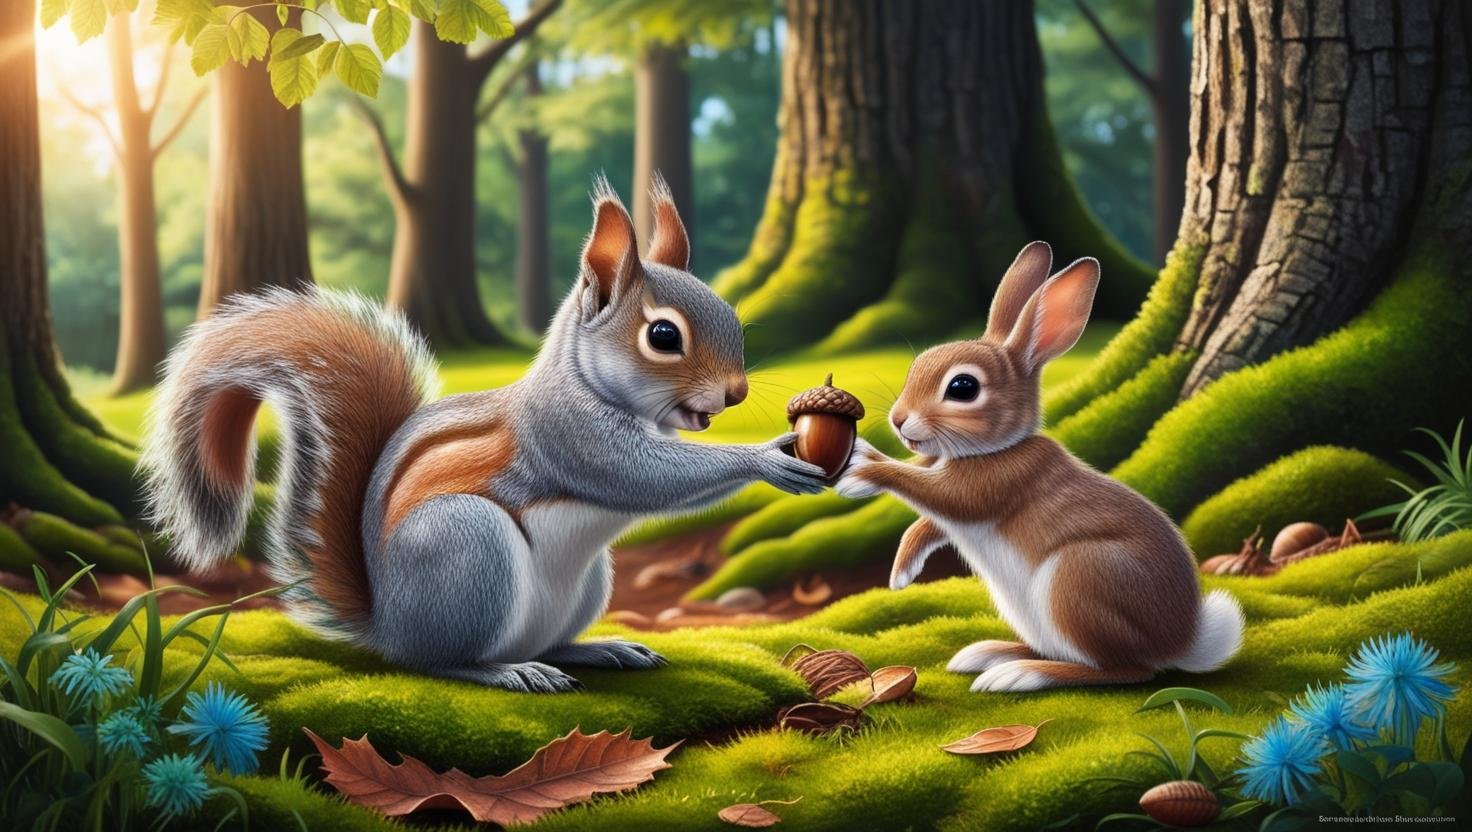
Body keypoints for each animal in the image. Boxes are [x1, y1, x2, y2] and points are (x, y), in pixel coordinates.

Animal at [141, 176, 828, 693]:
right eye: (663, 336)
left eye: (731, 315)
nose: (736, 392)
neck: (586, 382)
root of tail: (388, 626)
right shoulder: (569, 435)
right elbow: (643, 476)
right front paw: (766, 459)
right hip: (467, 546)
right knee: (443, 662)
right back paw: (508, 671)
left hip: (587, 581)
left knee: (551, 641)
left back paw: (598, 650)